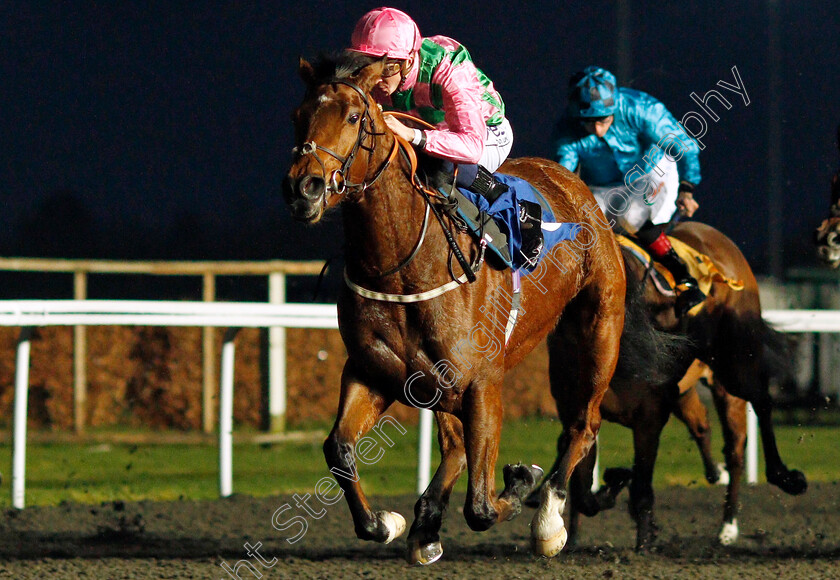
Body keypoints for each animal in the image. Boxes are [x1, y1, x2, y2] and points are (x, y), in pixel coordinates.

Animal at [284, 53, 684, 560]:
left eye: (355, 117)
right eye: (298, 116)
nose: (304, 188)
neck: (401, 264)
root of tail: (581, 191)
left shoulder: (482, 382)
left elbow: (481, 506)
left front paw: (523, 483)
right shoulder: (373, 371)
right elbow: (339, 448)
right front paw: (388, 522)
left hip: (597, 331)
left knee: (583, 424)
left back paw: (550, 518)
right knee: (458, 442)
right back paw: (427, 524)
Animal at [536, 221, 804, 548]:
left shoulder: (650, 414)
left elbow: (640, 487)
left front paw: (643, 539)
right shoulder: (577, 410)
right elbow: (584, 489)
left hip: (734, 368)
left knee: (750, 423)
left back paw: (750, 506)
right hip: (689, 390)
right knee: (704, 426)